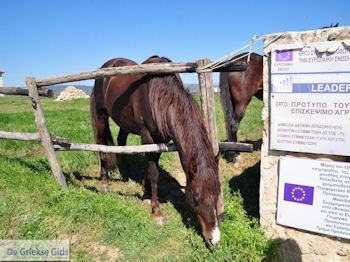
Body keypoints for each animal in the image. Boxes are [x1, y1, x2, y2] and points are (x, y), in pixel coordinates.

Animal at [90, 55, 221, 250]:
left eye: (218, 192)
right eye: (196, 196)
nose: (215, 240)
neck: (159, 92)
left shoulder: (161, 139)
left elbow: (152, 167)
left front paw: (145, 191)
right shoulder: (148, 136)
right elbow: (153, 173)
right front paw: (157, 211)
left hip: (124, 122)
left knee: (121, 141)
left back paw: (126, 175)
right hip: (101, 116)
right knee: (100, 145)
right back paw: (105, 182)